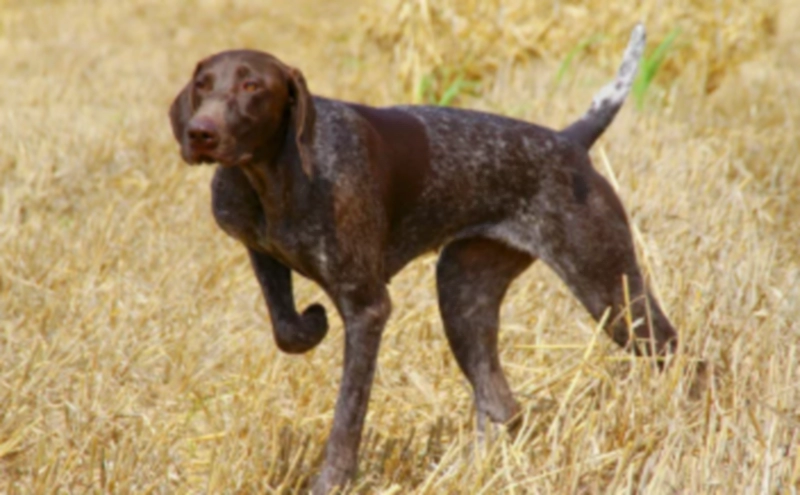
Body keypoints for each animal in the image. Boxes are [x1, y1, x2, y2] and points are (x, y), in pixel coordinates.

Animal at [169, 24, 676, 495]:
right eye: (202, 86)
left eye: (253, 86)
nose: (200, 133)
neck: (274, 175)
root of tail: (569, 141)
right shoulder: (262, 251)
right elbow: (287, 330)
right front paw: (311, 324)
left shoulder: (367, 308)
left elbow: (347, 416)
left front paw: (332, 481)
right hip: (463, 293)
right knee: (500, 403)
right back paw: (474, 474)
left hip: (610, 290)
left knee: (676, 353)